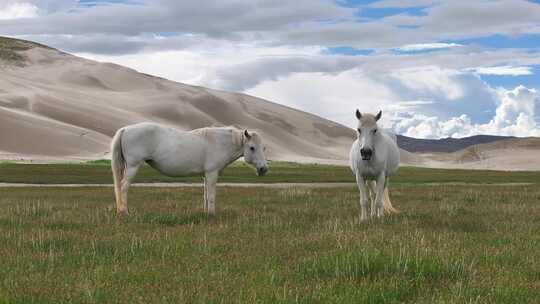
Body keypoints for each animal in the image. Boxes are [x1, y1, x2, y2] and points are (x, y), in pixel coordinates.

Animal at [110, 121, 270, 216]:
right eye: (252, 148)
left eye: (264, 148)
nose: (264, 169)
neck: (219, 142)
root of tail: (126, 129)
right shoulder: (212, 174)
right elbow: (211, 196)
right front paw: (211, 214)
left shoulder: (205, 175)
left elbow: (206, 195)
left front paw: (206, 213)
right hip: (133, 166)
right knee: (123, 187)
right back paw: (125, 212)